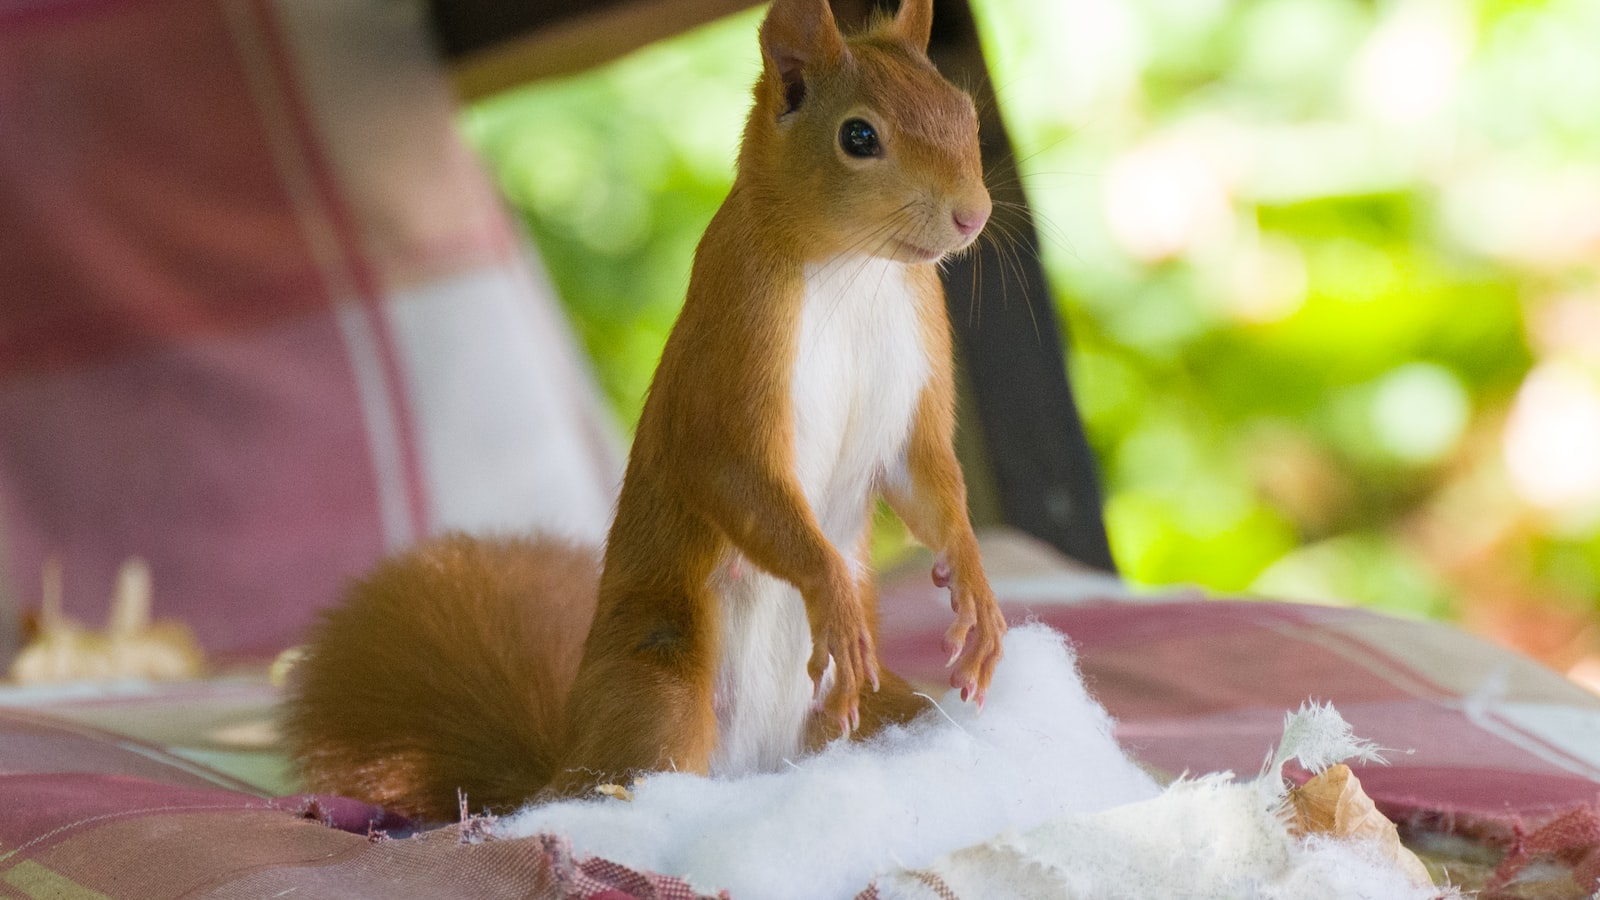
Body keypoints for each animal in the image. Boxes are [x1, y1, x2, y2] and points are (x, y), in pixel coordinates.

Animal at [278, 0, 998, 819]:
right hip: (663, 688)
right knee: (615, 782)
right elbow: (729, 471)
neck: (858, 271)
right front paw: (834, 601)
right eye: (859, 138)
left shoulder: (917, 363)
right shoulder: (732, 345)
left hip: (877, 708)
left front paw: (975, 587)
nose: (973, 215)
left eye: (965, 112)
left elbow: (928, 481)